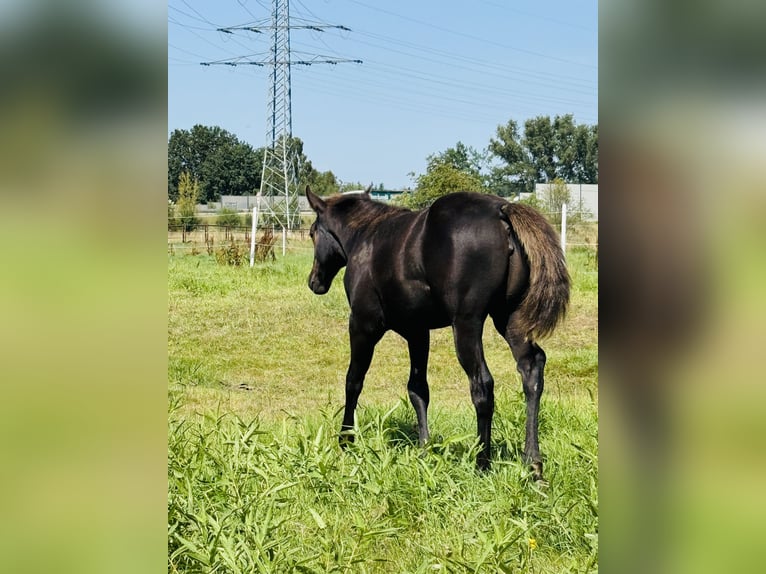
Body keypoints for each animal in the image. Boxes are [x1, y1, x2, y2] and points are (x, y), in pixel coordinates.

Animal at [305, 186, 570, 481]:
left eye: (312, 233)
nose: (315, 282)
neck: (366, 236)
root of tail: (501, 211)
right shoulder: (417, 332)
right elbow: (418, 389)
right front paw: (424, 450)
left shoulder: (363, 325)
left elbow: (353, 381)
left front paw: (345, 440)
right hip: (510, 320)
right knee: (531, 370)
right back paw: (533, 465)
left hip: (466, 324)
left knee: (482, 384)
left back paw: (482, 463)